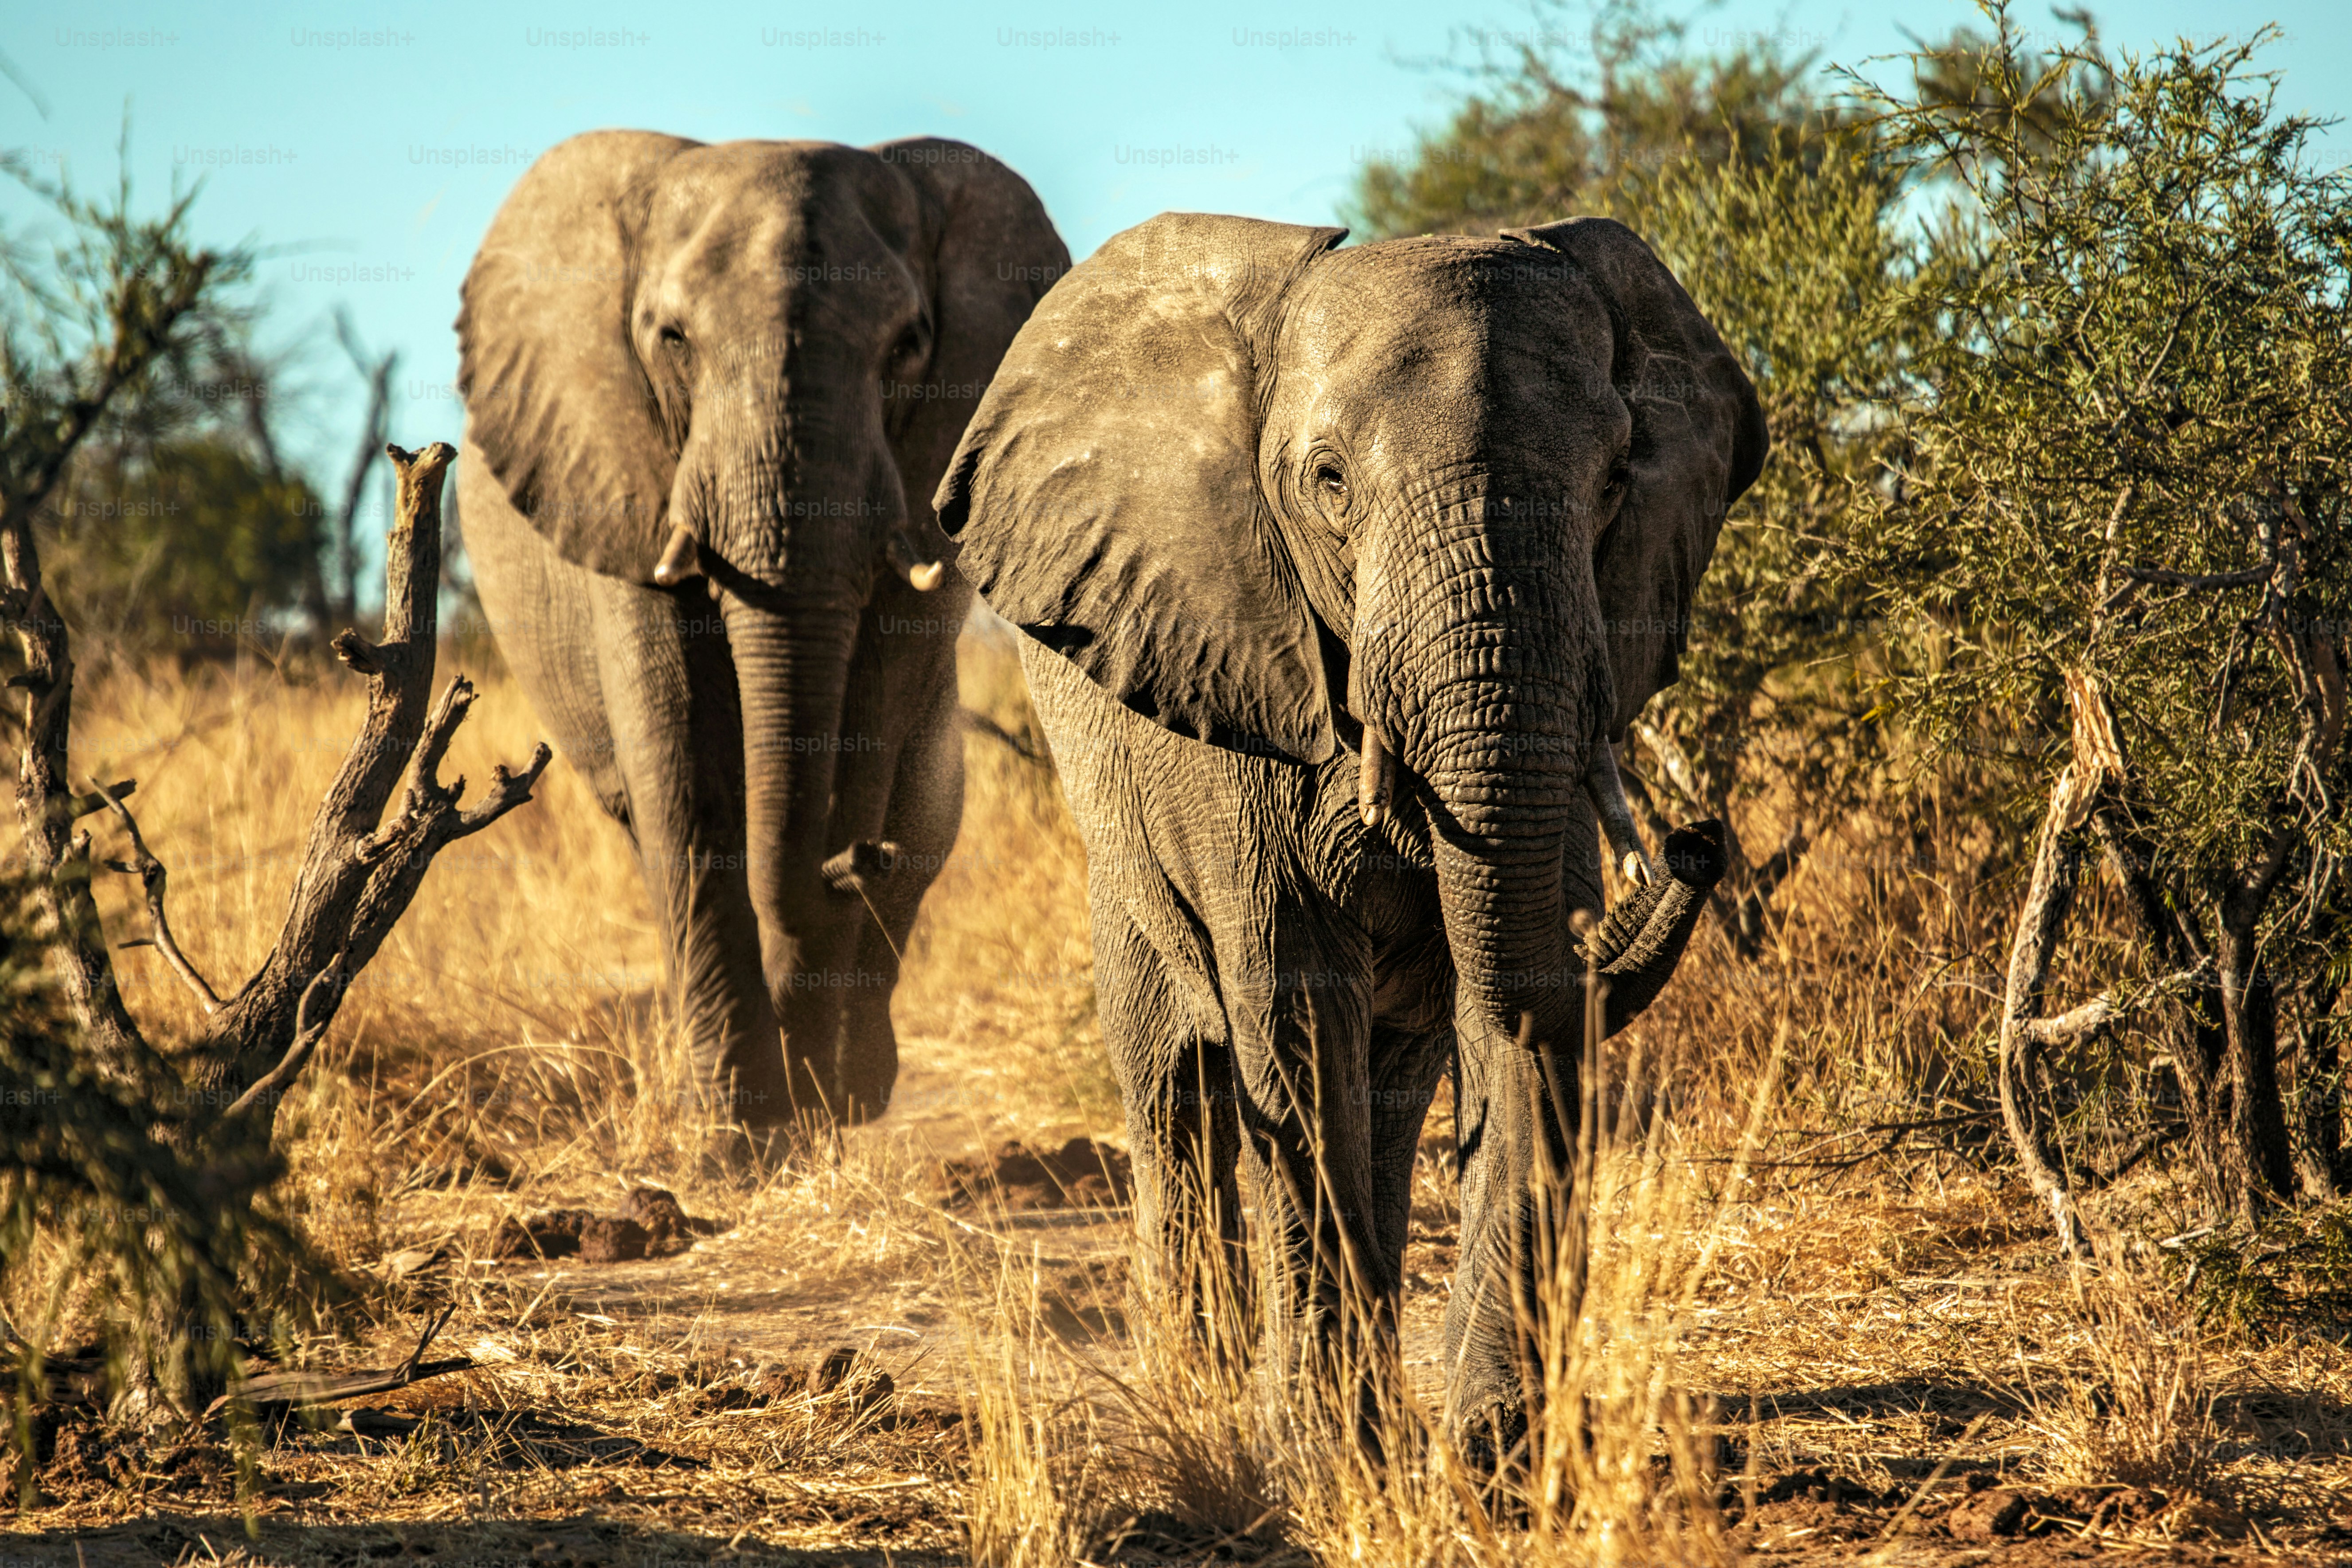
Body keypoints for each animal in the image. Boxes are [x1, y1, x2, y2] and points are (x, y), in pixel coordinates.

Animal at [456, 133, 1068, 1131]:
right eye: (672, 339)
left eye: (910, 344)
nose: (853, 861)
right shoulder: (622, 480)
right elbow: (683, 771)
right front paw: (734, 1135)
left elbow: (866, 736)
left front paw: (814, 1107)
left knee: (925, 808)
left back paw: (859, 1083)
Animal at [936, 212, 1764, 1456]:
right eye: (1328, 484)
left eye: (1618, 479)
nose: (1697, 841)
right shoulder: (1230, 678)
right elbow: (1292, 1000)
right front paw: (1327, 1453)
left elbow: (1509, 996)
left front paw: (1489, 1446)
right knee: (1171, 1077)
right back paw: (1205, 1382)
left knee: (1393, 1082)